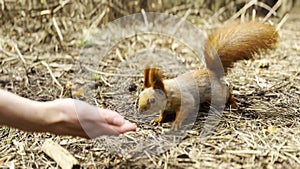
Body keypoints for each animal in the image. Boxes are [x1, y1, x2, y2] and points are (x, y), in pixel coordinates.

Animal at [138, 21, 278, 130]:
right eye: (139, 96)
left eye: (152, 100)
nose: (140, 111)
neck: (168, 92)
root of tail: (212, 73)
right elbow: (163, 113)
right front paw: (157, 119)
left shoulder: (185, 100)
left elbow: (184, 111)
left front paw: (176, 123)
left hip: (217, 93)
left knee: (227, 92)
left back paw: (233, 103)